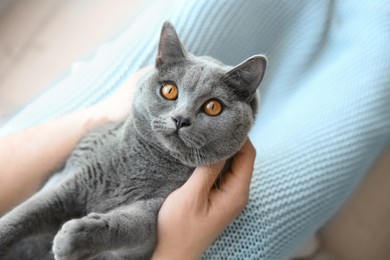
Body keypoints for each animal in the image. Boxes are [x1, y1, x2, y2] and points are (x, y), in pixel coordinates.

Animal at [0, 21, 266, 258]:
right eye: (169, 90)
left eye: (213, 107)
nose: (180, 119)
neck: (145, 162)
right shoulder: (71, 180)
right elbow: (26, 213)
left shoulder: (153, 214)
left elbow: (127, 226)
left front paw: (76, 235)